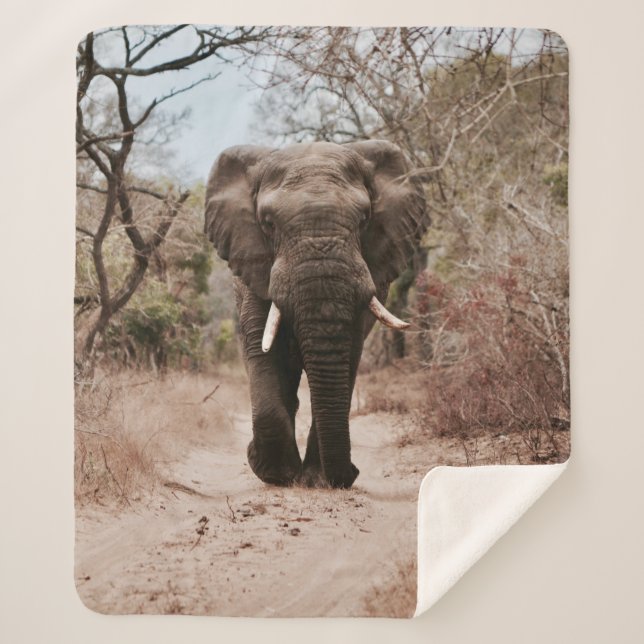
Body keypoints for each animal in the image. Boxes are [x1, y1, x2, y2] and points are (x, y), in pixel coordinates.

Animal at [204, 140, 429, 489]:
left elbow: (348, 354)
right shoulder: (254, 264)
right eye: (268, 223)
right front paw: (275, 474)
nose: (351, 474)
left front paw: (316, 479)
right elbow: (261, 347)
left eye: (364, 219)